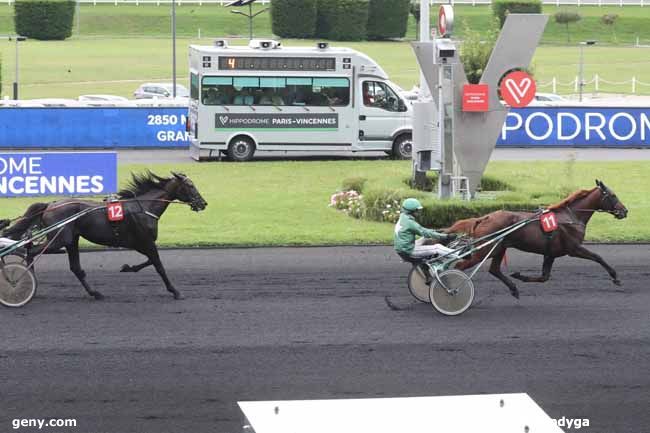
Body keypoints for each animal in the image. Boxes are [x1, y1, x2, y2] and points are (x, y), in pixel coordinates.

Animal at [442, 179, 624, 296]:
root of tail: (485, 217)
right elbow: (598, 257)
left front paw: (519, 276)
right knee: (460, 266)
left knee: (494, 269)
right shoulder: (573, 248)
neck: (571, 217)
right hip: (485, 249)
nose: (625, 211)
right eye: (613, 195)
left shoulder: (550, 253)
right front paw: (615, 277)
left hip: (499, 248)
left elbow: (544, 277)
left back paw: (513, 288)